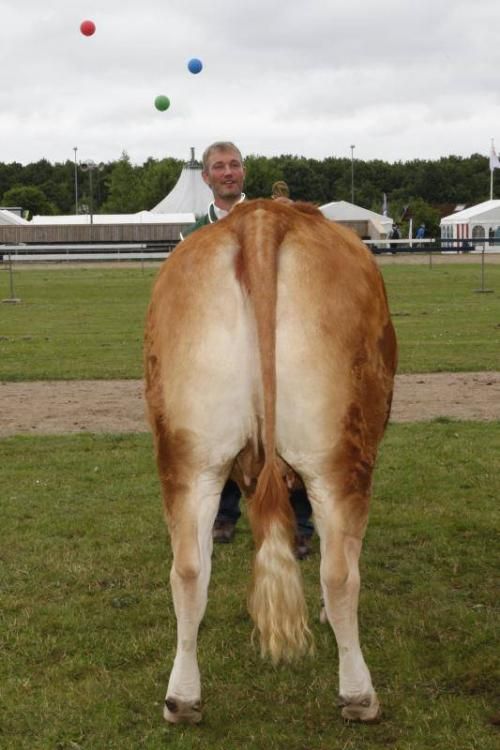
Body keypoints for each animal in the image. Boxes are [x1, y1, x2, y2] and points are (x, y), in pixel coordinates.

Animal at [143, 197, 396, 724]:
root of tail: (262, 217)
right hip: (337, 456)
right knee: (340, 573)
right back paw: (359, 696)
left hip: (189, 455)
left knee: (188, 570)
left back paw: (182, 699)